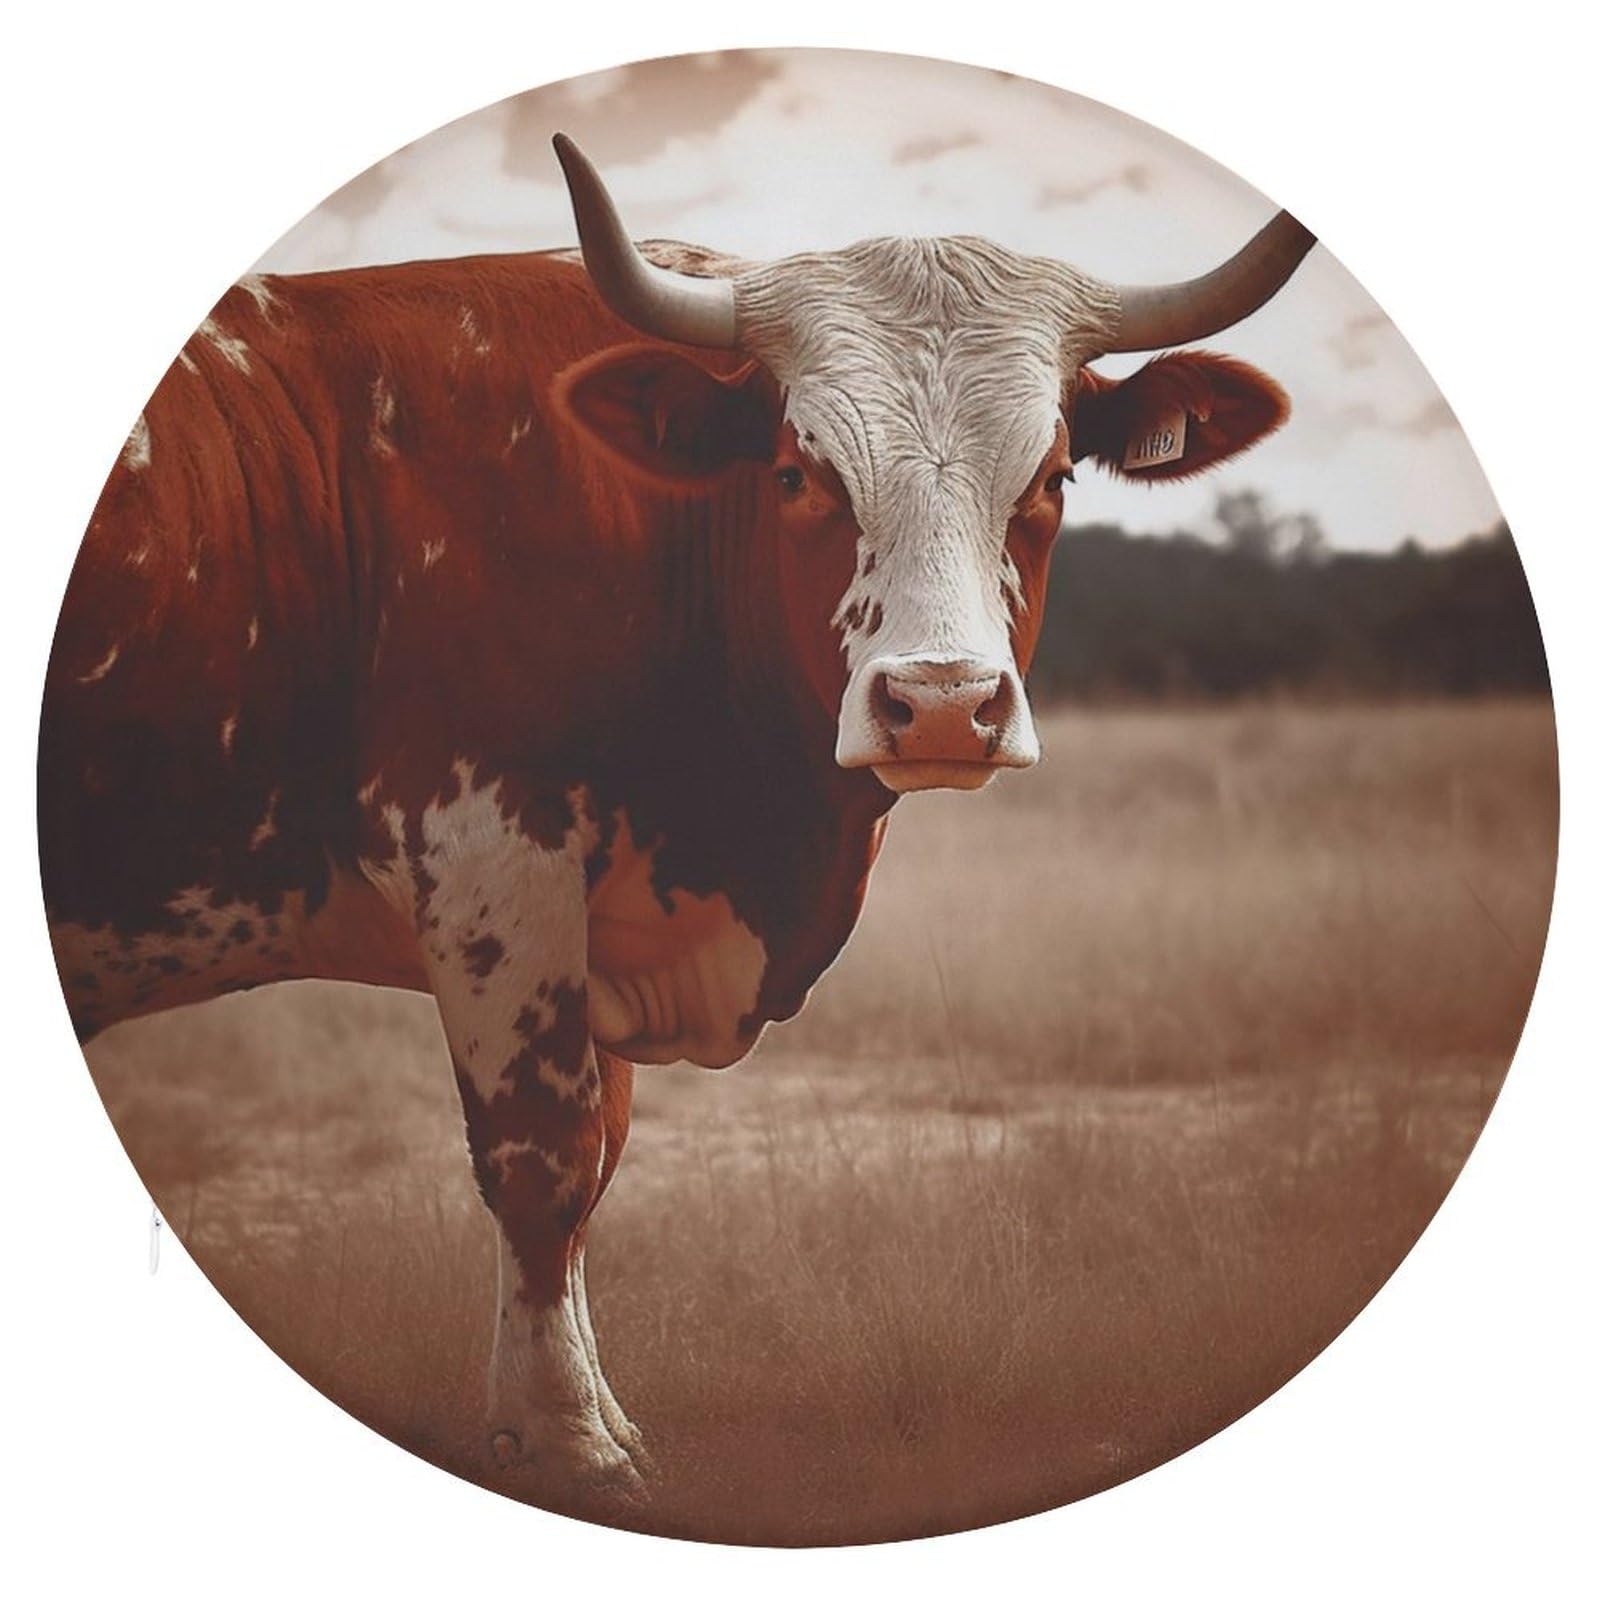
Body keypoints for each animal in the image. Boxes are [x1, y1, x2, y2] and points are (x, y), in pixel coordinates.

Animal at [39, 133, 1313, 1506]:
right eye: (798, 473)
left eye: (1053, 476)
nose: (938, 703)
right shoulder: (491, 855)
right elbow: (541, 1161)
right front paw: (565, 1438)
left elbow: (596, 1163)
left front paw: (588, 1414)